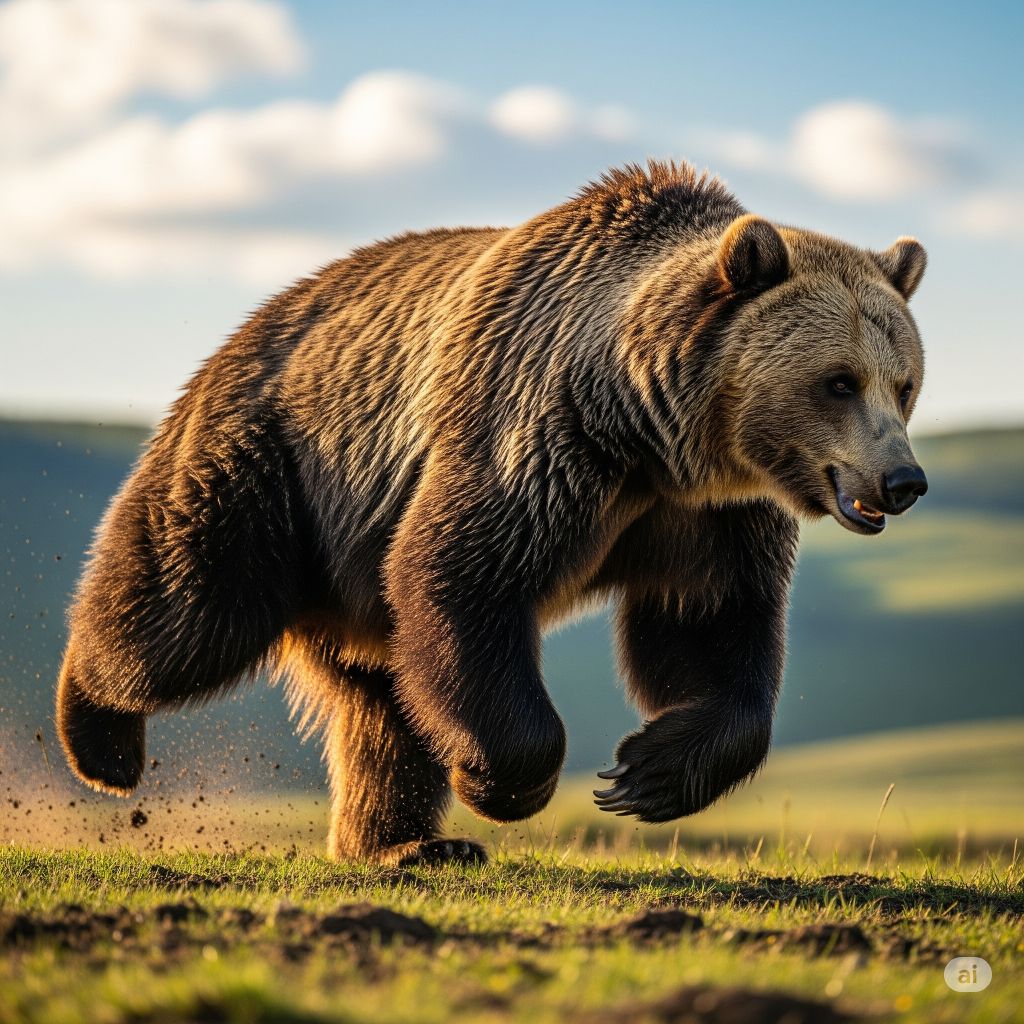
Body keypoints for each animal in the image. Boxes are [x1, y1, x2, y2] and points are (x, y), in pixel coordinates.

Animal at [55, 160, 929, 866]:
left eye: (905, 382)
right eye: (839, 381)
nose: (903, 480)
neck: (652, 433)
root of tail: (252, 323)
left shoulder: (709, 514)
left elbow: (709, 625)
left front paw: (647, 772)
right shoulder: (539, 433)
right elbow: (459, 575)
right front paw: (504, 781)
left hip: (348, 580)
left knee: (381, 705)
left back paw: (405, 846)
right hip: (279, 468)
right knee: (187, 607)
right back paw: (99, 737)